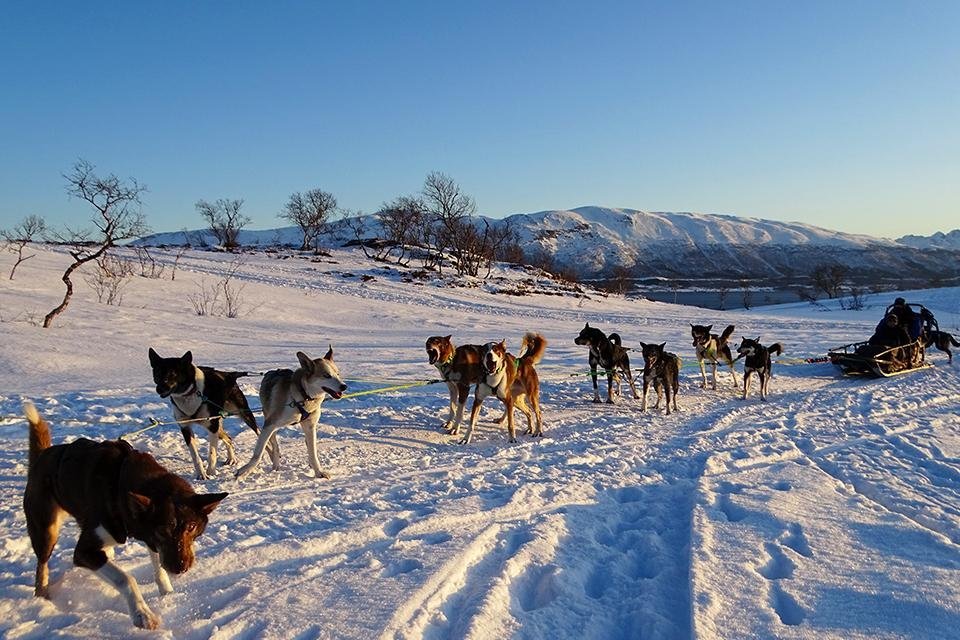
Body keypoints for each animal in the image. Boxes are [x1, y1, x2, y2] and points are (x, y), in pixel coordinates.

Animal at [23, 400, 227, 632]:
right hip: (45, 529)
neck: (119, 481)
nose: (180, 568)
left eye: (191, 527)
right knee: (42, 565)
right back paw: (43, 595)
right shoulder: (85, 552)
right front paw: (142, 613)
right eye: (162, 530)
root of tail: (42, 456)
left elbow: (157, 565)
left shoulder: (149, 538)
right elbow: (126, 579)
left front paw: (167, 591)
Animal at [144, 350, 262, 480]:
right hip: (217, 424)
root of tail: (228, 375)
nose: (159, 389)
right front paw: (201, 474)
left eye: (172, 373)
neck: (190, 393)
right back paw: (231, 458)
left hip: (243, 415)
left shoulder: (212, 427)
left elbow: (212, 453)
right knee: (229, 438)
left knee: (260, 433)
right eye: (158, 373)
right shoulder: (186, 427)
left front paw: (211, 473)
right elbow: (195, 456)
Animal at [234, 350, 346, 480]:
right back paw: (275, 466)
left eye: (338, 374)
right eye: (327, 375)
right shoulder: (269, 425)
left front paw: (318, 472)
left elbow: (313, 453)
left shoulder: (310, 427)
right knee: (275, 446)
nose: (344, 386)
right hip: (269, 423)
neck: (303, 396)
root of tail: (272, 371)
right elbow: (258, 453)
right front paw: (245, 470)